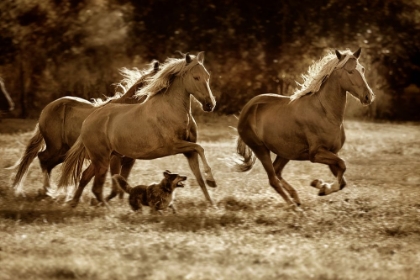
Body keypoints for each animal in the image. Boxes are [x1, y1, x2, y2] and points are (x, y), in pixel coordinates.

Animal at [11, 61, 159, 197]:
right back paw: (47, 191)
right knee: (43, 158)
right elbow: (115, 185)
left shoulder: (128, 160)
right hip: (55, 147)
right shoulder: (114, 158)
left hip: (64, 152)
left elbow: (122, 186)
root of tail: (47, 108)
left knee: (48, 163)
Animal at [58, 51, 217, 207]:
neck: (171, 109)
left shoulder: (188, 152)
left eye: (207, 77)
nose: (210, 105)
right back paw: (105, 207)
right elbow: (200, 148)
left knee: (86, 177)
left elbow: (199, 177)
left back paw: (75, 203)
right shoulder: (174, 146)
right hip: (102, 159)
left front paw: (211, 202)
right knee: (97, 187)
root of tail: (88, 120)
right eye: (196, 77)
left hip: (104, 157)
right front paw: (212, 180)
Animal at [235, 47, 376, 206]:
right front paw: (320, 186)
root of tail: (247, 108)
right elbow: (342, 166)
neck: (325, 112)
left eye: (362, 69)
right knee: (272, 179)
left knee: (277, 172)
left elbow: (342, 179)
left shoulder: (332, 152)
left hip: (285, 153)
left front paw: (321, 187)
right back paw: (293, 206)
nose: (368, 96)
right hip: (260, 149)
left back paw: (296, 199)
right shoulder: (316, 154)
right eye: (350, 71)